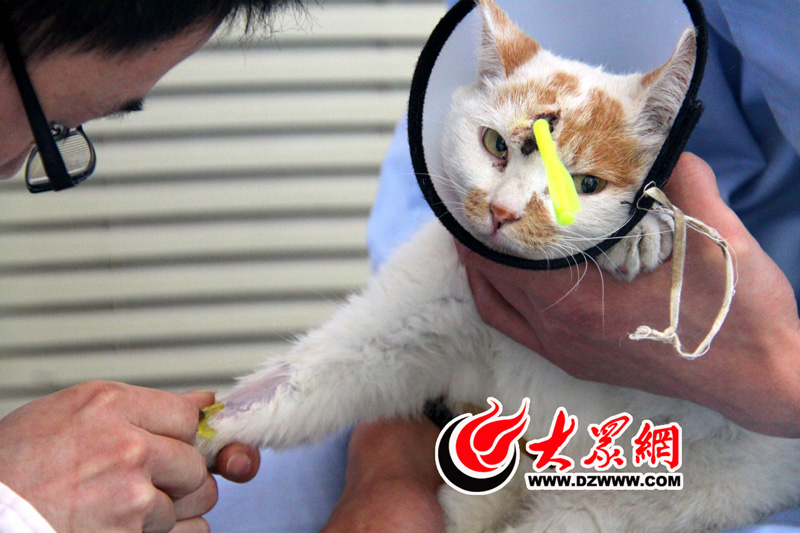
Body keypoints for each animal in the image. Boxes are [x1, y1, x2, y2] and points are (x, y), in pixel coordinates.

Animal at [197, 1, 800, 530]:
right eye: (494, 145)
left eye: (585, 185)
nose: (503, 211)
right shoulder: (409, 324)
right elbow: (295, 382)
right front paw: (200, 435)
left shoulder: (709, 419)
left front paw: (644, 231)